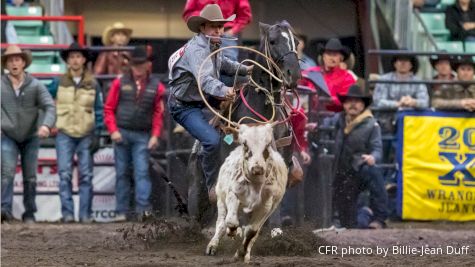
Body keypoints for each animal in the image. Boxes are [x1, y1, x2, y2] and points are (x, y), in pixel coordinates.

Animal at [206, 125, 288, 264]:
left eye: (267, 144)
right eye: (245, 143)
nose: (257, 168)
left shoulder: (266, 205)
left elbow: (251, 231)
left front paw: (241, 253)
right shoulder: (232, 194)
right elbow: (230, 221)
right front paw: (231, 231)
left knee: (253, 231)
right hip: (221, 199)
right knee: (221, 223)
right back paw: (212, 246)